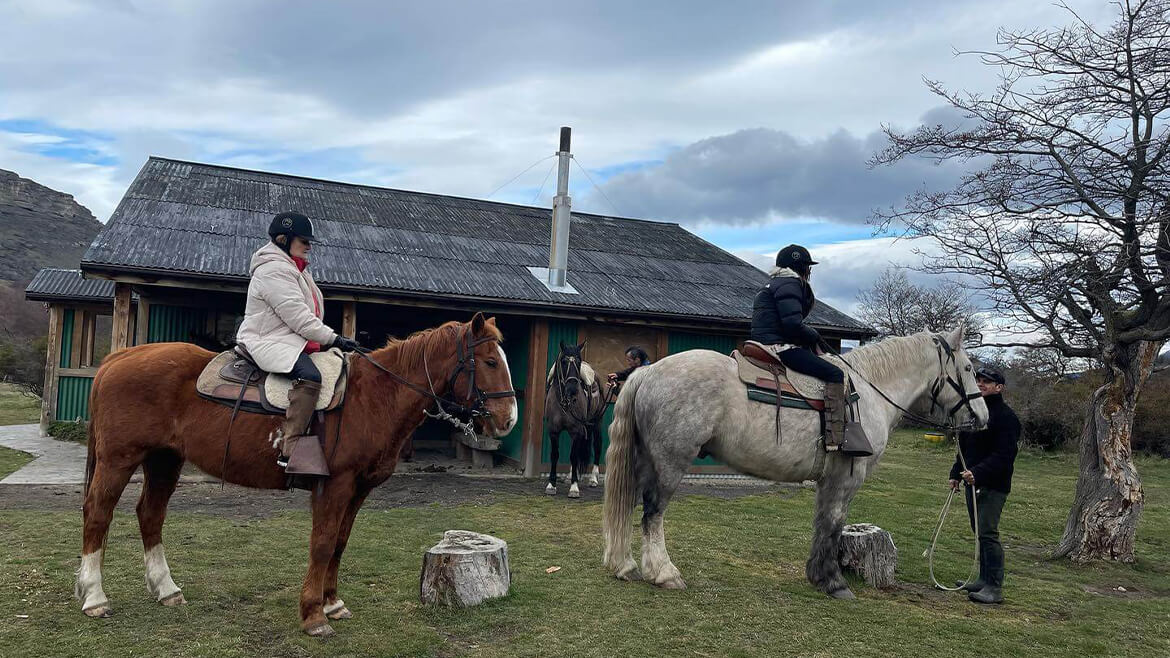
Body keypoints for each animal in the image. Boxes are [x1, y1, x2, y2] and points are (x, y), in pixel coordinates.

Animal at [73, 311, 512, 636]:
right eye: (490, 362)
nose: (507, 420)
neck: (372, 396)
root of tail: (117, 359)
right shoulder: (334, 486)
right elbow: (322, 544)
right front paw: (313, 615)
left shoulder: (357, 491)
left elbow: (340, 544)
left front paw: (332, 603)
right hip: (119, 460)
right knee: (98, 515)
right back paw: (95, 597)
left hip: (164, 460)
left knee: (150, 515)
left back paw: (166, 590)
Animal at [545, 339, 608, 494]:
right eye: (563, 361)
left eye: (578, 362)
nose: (573, 390)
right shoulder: (553, 430)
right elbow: (555, 455)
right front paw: (551, 484)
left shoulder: (576, 430)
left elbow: (573, 456)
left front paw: (574, 487)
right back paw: (570, 476)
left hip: (596, 423)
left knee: (597, 446)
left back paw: (593, 479)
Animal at [603, 325, 987, 597]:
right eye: (969, 367)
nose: (983, 418)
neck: (869, 391)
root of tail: (648, 373)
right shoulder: (847, 478)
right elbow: (834, 523)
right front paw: (834, 583)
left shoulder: (829, 480)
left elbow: (822, 523)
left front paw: (818, 576)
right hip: (669, 463)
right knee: (653, 513)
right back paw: (664, 573)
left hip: (644, 460)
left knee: (629, 506)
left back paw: (625, 566)